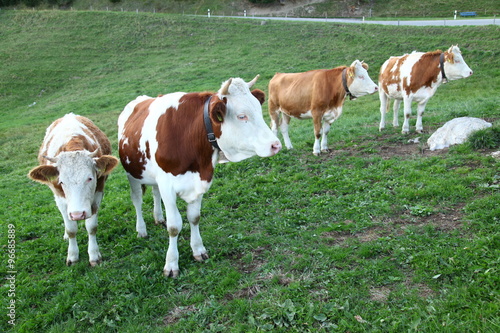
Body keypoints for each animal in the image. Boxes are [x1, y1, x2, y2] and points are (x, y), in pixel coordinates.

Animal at [28, 113, 119, 266]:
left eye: (90, 178)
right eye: (61, 181)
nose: (77, 214)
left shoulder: (98, 193)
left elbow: (91, 226)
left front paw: (94, 255)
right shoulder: (59, 197)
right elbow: (71, 229)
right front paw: (72, 255)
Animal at [117, 76, 282, 276]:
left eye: (259, 108)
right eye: (242, 116)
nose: (276, 145)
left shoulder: (199, 181)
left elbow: (194, 217)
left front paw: (198, 250)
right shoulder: (167, 185)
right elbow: (174, 226)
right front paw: (171, 264)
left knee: (155, 193)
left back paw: (158, 217)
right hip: (132, 173)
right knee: (137, 200)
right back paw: (141, 229)